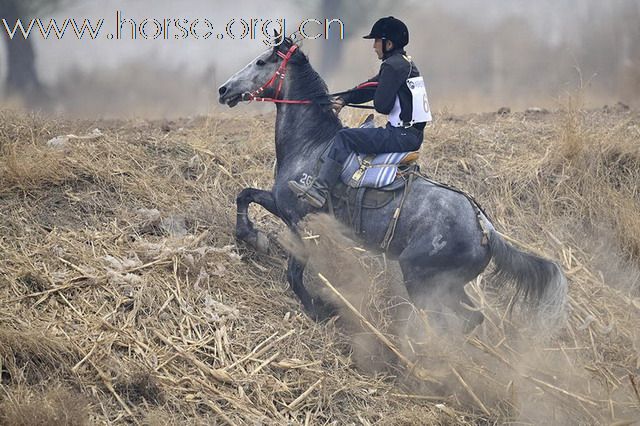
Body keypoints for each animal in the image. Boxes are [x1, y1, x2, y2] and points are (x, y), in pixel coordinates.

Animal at [219, 35, 564, 332]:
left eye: (261, 61)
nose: (224, 90)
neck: (312, 144)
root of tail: (484, 228)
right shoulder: (282, 206)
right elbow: (244, 195)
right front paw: (251, 237)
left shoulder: (294, 216)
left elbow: (292, 272)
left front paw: (318, 308)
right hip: (448, 284)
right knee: (472, 318)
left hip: (422, 279)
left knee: (448, 319)